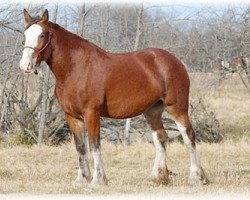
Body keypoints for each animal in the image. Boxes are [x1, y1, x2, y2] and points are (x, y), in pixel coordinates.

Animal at [19, 9, 208, 186]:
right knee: (160, 139)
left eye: (42, 35)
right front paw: (81, 179)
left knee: (188, 136)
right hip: (152, 111)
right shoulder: (72, 116)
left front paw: (98, 180)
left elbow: (94, 145)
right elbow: (80, 147)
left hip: (177, 107)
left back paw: (196, 177)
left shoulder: (91, 113)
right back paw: (157, 177)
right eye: (25, 35)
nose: (25, 66)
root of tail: (175, 61)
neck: (75, 69)